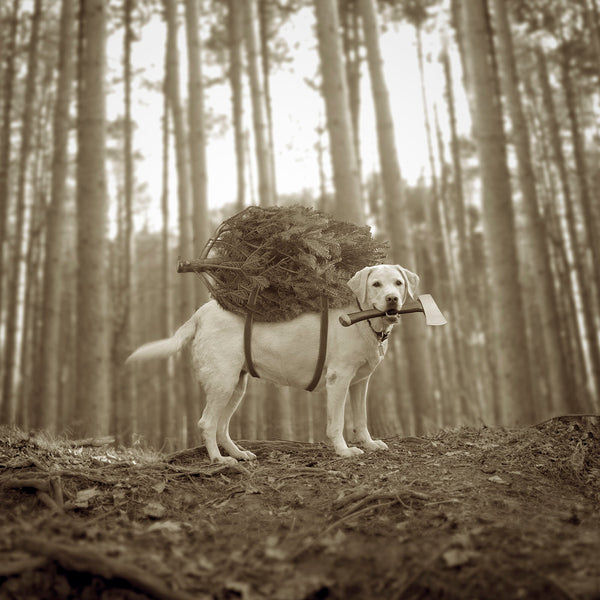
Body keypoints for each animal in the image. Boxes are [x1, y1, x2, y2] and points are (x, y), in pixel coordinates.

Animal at [127, 206, 446, 464]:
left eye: (398, 283)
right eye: (376, 284)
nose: (393, 300)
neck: (363, 318)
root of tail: (201, 313)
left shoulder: (359, 383)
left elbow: (361, 419)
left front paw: (368, 444)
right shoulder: (339, 379)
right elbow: (337, 422)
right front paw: (344, 451)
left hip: (236, 385)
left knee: (221, 426)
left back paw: (238, 453)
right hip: (222, 380)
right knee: (207, 423)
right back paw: (219, 460)